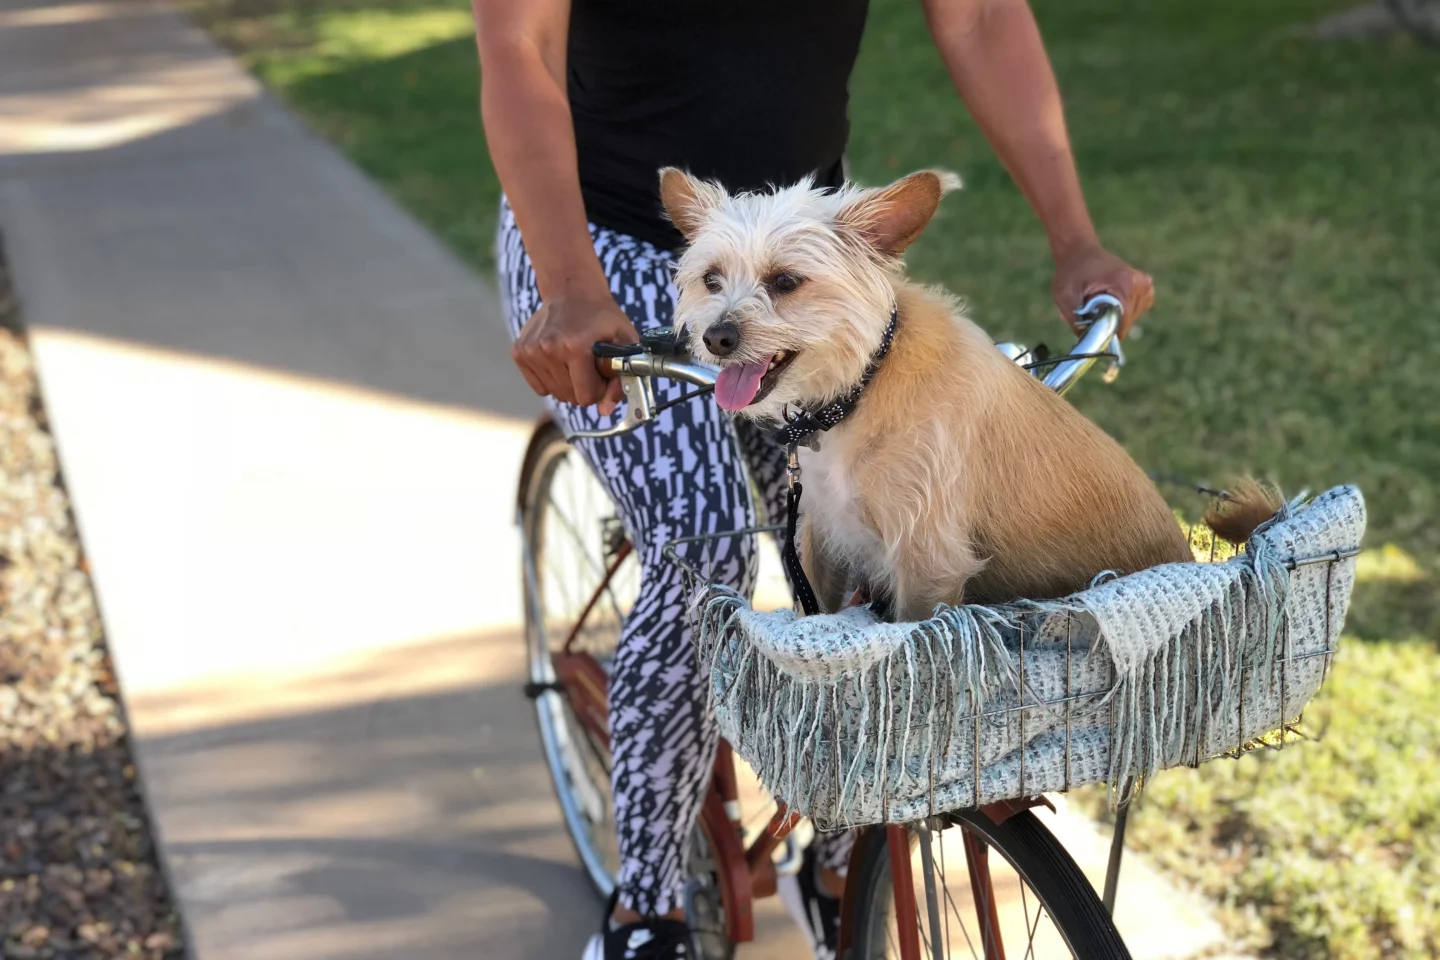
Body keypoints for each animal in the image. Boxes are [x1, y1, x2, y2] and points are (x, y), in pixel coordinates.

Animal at [659, 168, 1278, 618]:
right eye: (711, 279)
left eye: (785, 281)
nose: (716, 337)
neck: (862, 387)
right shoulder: (824, 542)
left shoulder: (927, 564)